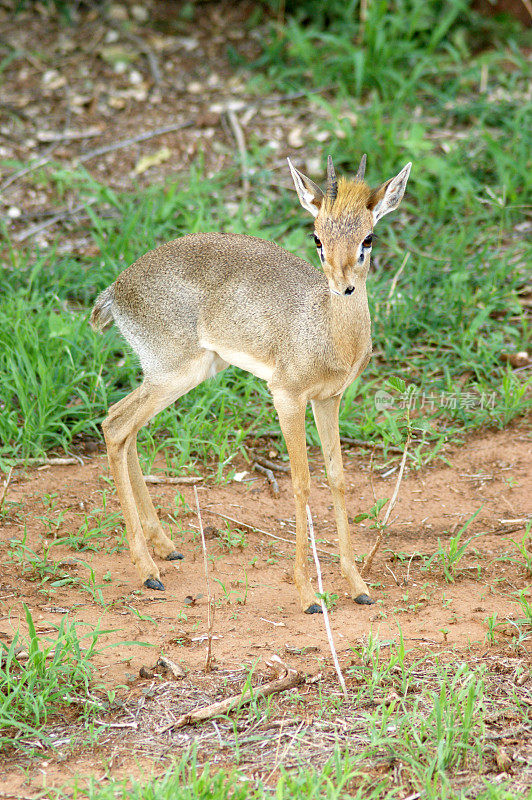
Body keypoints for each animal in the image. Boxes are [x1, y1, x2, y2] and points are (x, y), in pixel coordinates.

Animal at [91, 155, 412, 612]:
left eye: (369, 237)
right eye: (316, 237)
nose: (344, 286)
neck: (328, 331)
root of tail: (115, 291)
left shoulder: (329, 399)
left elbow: (337, 478)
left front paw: (358, 585)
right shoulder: (286, 396)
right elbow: (301, 483)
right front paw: (307, 593)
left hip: (182, 375)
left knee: (123, 425)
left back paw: (165, 547)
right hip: (173, 374)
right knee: (116, 425)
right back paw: (147, 570)